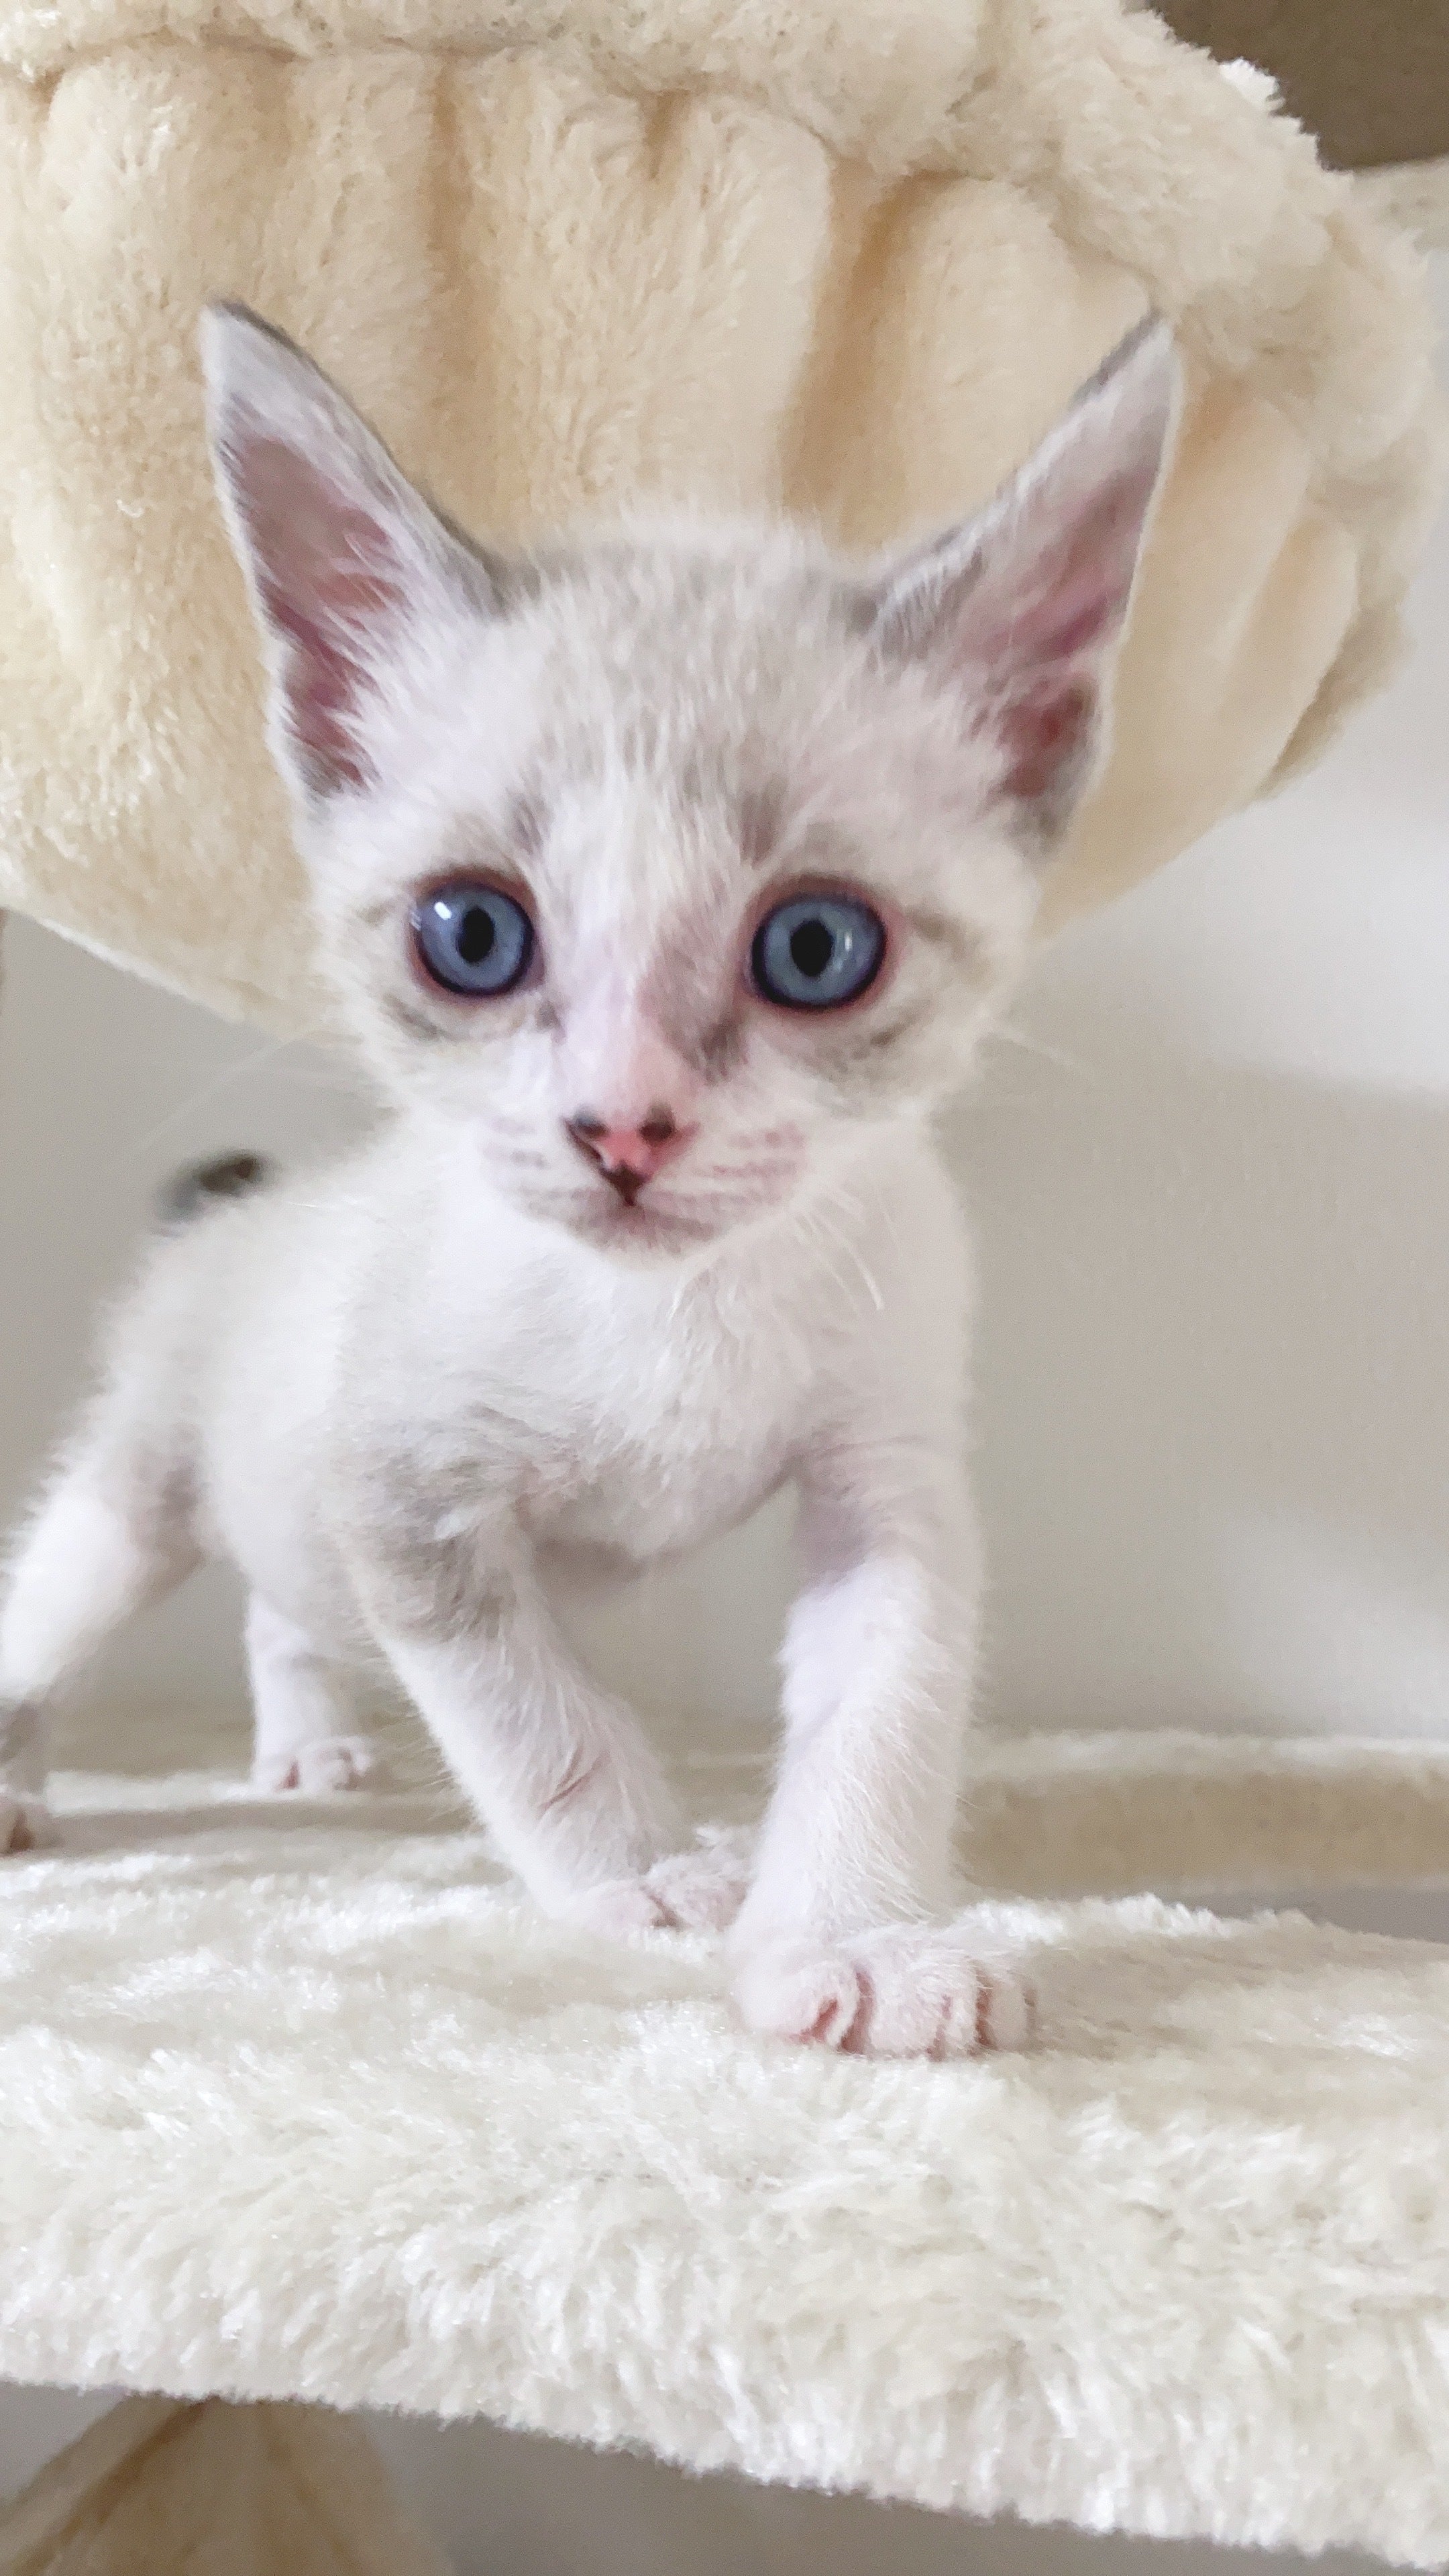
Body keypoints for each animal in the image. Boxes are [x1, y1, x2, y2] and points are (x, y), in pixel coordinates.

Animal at [0, 303, 1176, 2056]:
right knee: (61, 1598)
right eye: (472, 934)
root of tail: (235, 1217)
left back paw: (305, 1746)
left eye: (814, 949)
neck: (666, 1315)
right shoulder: (404, 1494)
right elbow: (530, 1712)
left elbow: (885, 1703)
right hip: (141, 1483)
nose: (624, 1126)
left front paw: (862, 1934)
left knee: (284, 1604)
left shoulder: (885, 1474)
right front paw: (649, 1875)